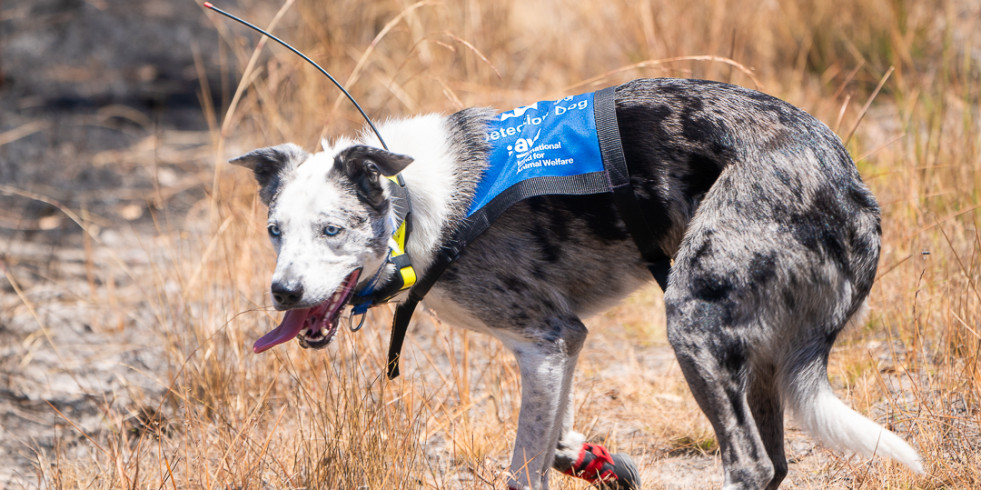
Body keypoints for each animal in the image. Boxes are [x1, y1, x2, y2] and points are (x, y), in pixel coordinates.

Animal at [234, 78, 924, 488]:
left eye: (332, 230)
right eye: (274, 231)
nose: (282, 294)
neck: (411, 204)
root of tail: (846, 181)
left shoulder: (544, 339)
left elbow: (523, 472)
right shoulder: (566, 342)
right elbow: (557, 440)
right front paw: (589, 459)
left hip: (692, 327)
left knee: (750, 465)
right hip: (757, 359)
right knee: (774, 463)